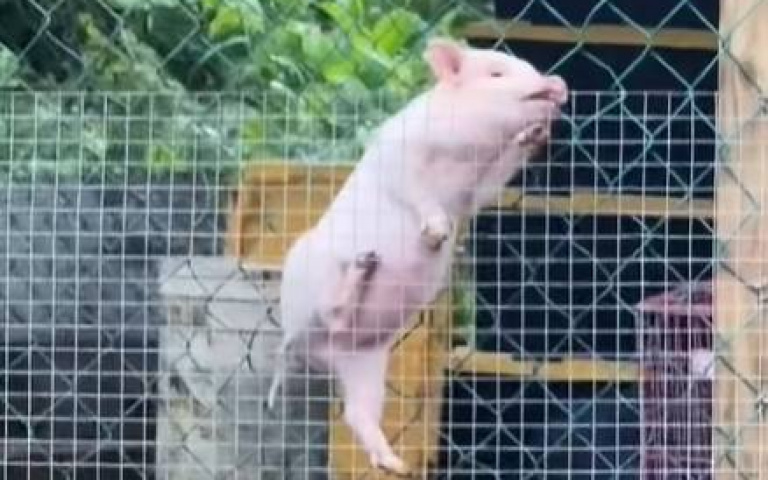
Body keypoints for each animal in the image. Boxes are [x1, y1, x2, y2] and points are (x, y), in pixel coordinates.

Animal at [266, 37, 568, 475]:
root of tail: (302, 344)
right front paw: (437, 234)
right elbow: (416, 191)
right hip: (313, 279)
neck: (468, 154)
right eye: (496, 73)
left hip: (367, 359)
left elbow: (493, 184)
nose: (556, 82)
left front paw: (535, 134)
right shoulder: (399, 154)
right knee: (331, 311)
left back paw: (394, 465)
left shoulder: (477, 191)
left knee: (357, 414)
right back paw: (364, 264)